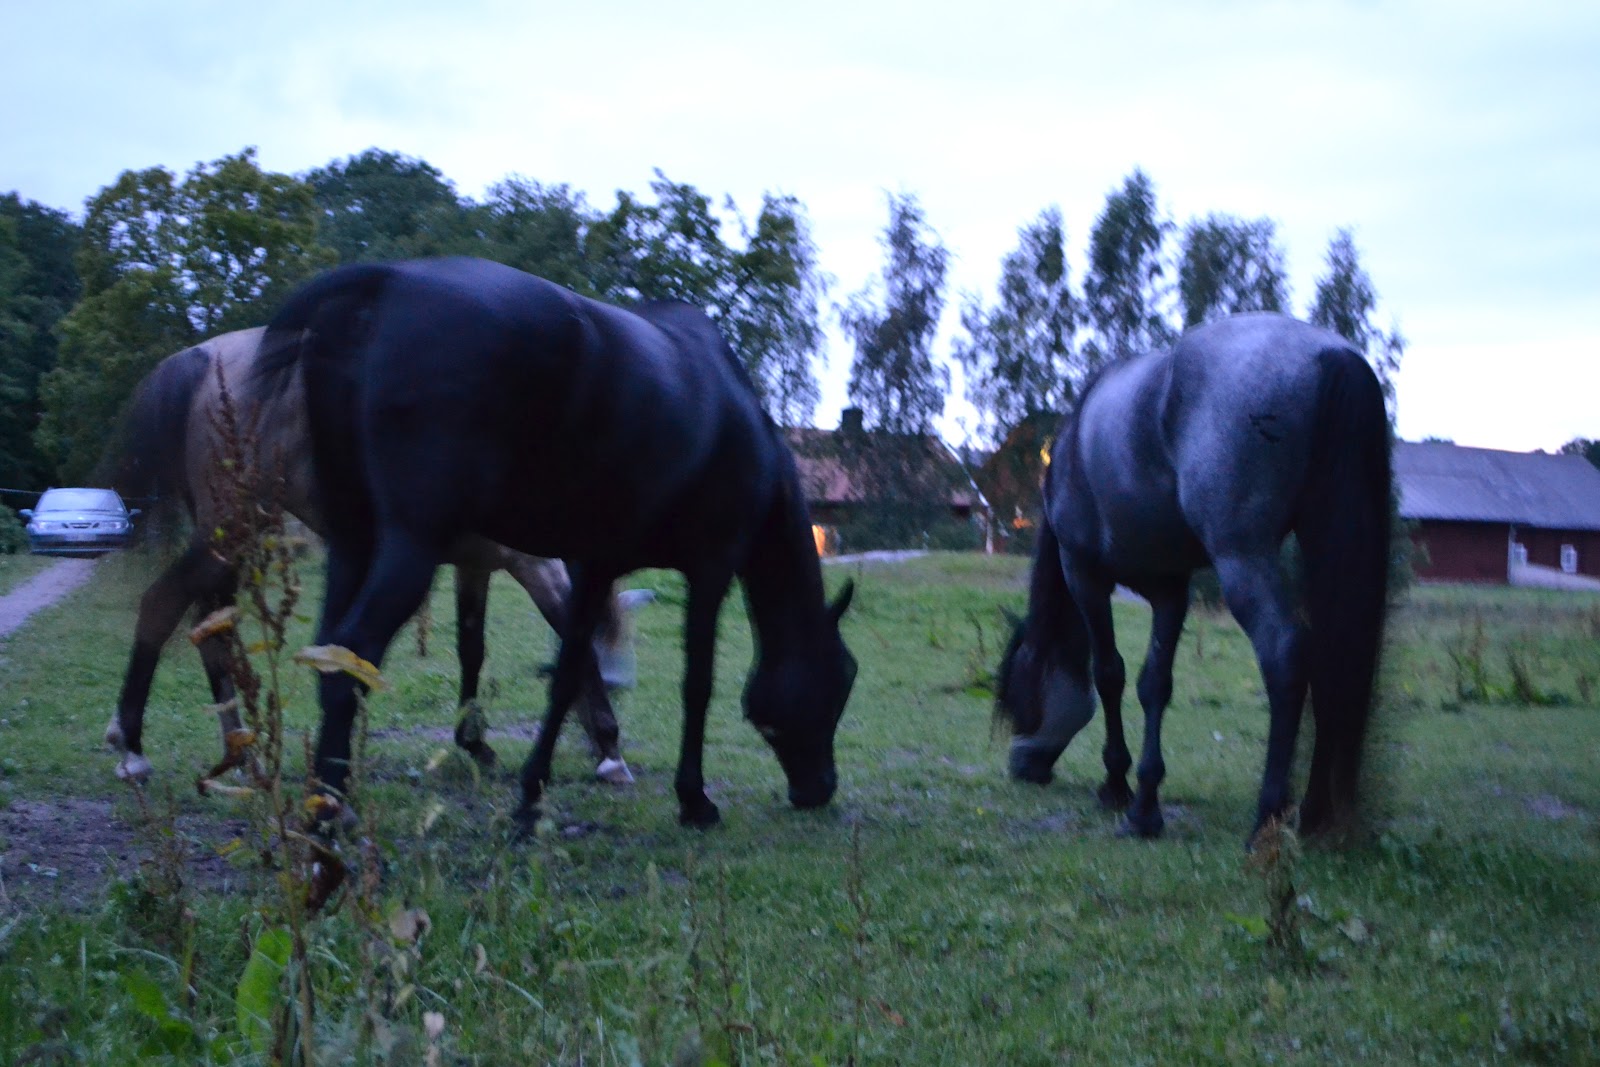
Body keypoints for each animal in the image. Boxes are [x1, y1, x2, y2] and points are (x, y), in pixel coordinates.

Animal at [107, 328, 640, 787]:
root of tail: (201, 356)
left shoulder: (476, 565)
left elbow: (472, 648)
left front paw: (474, 743)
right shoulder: (535, 566)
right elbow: (574, 641)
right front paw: (611, 750)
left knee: (211, 625)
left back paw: (240, 751)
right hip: (233, 529)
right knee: (162, 604)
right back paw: (132, 748)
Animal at [251, 257, 857, 829]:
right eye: (843, 676)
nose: (819, 788)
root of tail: (387, 283)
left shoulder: (594, 566)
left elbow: (569, 674)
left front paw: (532, 796)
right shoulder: (710, 569)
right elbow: (697, 684)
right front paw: (694, 800)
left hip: (354, 542)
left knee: (331, 650)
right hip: (411, 547)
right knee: (352, 655)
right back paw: (328, 815)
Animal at [996, 312, 1391, 842]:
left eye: (1018, 690)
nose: (1020, 766)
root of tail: (1331, 355)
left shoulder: (1084, 574)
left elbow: (1109, 674)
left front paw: (1115, 785)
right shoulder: (1170, 590)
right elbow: (1154, 685)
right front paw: (1145, 806)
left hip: (1242, 558)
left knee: (1284, 654)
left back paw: (1267, 817)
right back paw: (1312, 815)